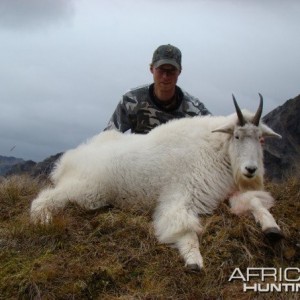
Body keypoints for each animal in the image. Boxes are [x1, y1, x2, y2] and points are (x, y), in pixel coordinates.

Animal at [30, 94, 284, 272]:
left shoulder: (230, 192)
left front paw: (272, 228)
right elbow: (185, 229)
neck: (216, 150)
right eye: (237, 136)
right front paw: (194, 262)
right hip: (88, 191)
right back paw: (44, 220)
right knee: (43, 199)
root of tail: (68, 160)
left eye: (260, 138)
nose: (250, 170)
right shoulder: (181, 197)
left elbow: (256, 203)